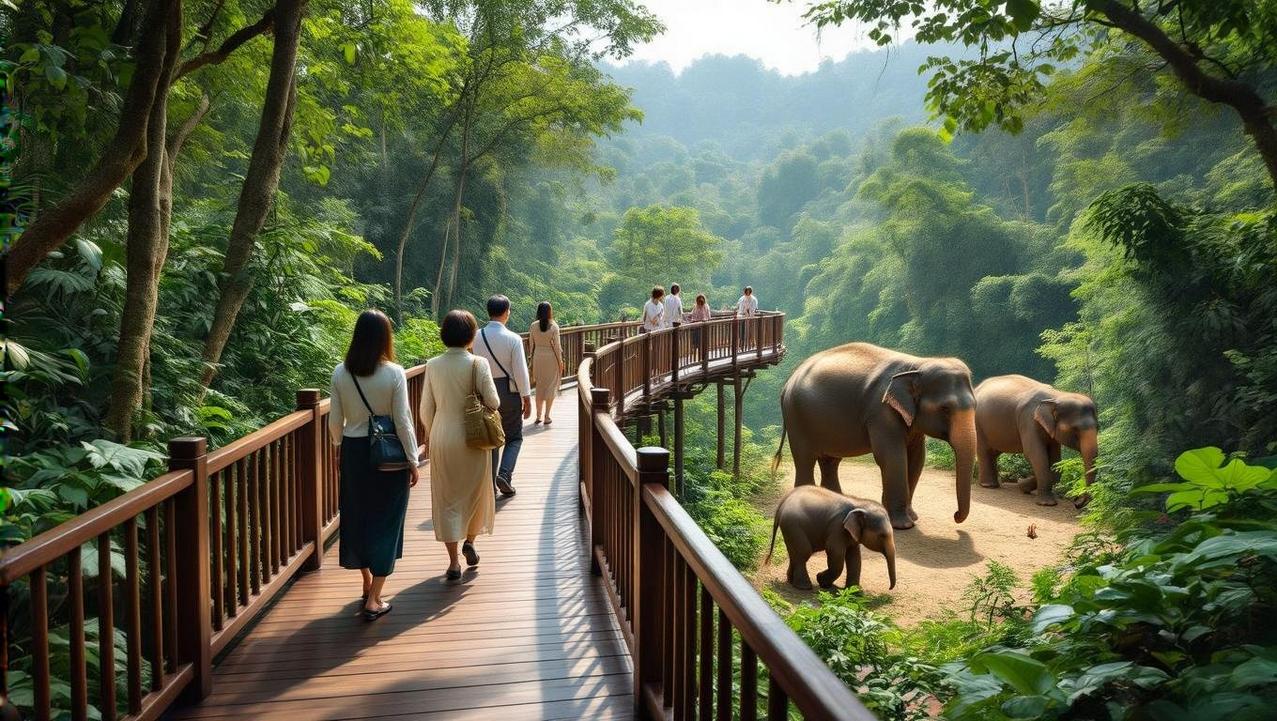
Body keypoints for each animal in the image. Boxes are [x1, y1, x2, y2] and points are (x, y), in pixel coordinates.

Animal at [764, 485, 897, 590]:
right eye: (882, 535)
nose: (889, 588)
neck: (858, 503)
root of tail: (782, 503)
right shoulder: (837, 528)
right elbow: (836, 553)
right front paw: (821, 580)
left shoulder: (850, 534)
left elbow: (854, 557)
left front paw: (855, 593)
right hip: (793, 526)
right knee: (804, 552)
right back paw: (804, 587)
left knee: (795, 554)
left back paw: (791, 581)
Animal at [773, 342, 977, 530]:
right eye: (945, 409)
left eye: (975, 405)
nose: (956, 515)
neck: (917, 364)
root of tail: (787, 383)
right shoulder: (881, 412)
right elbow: (892, 457)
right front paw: (904, 525)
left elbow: (917, 458)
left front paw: (912, 517)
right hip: (796, 417)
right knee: (804, 459)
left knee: (829, 461)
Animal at [974, 375, 1098, 507]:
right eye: (1074, 430)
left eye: (1098, 427)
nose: (1077, 502)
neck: (1056, 395)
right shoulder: (1029, 420)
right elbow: (1035, 455)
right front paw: (1046, 504)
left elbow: (1055, 461)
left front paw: (1022, 486)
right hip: (977, 424)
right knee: (984, 451)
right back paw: (989, 485)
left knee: (993, 452)